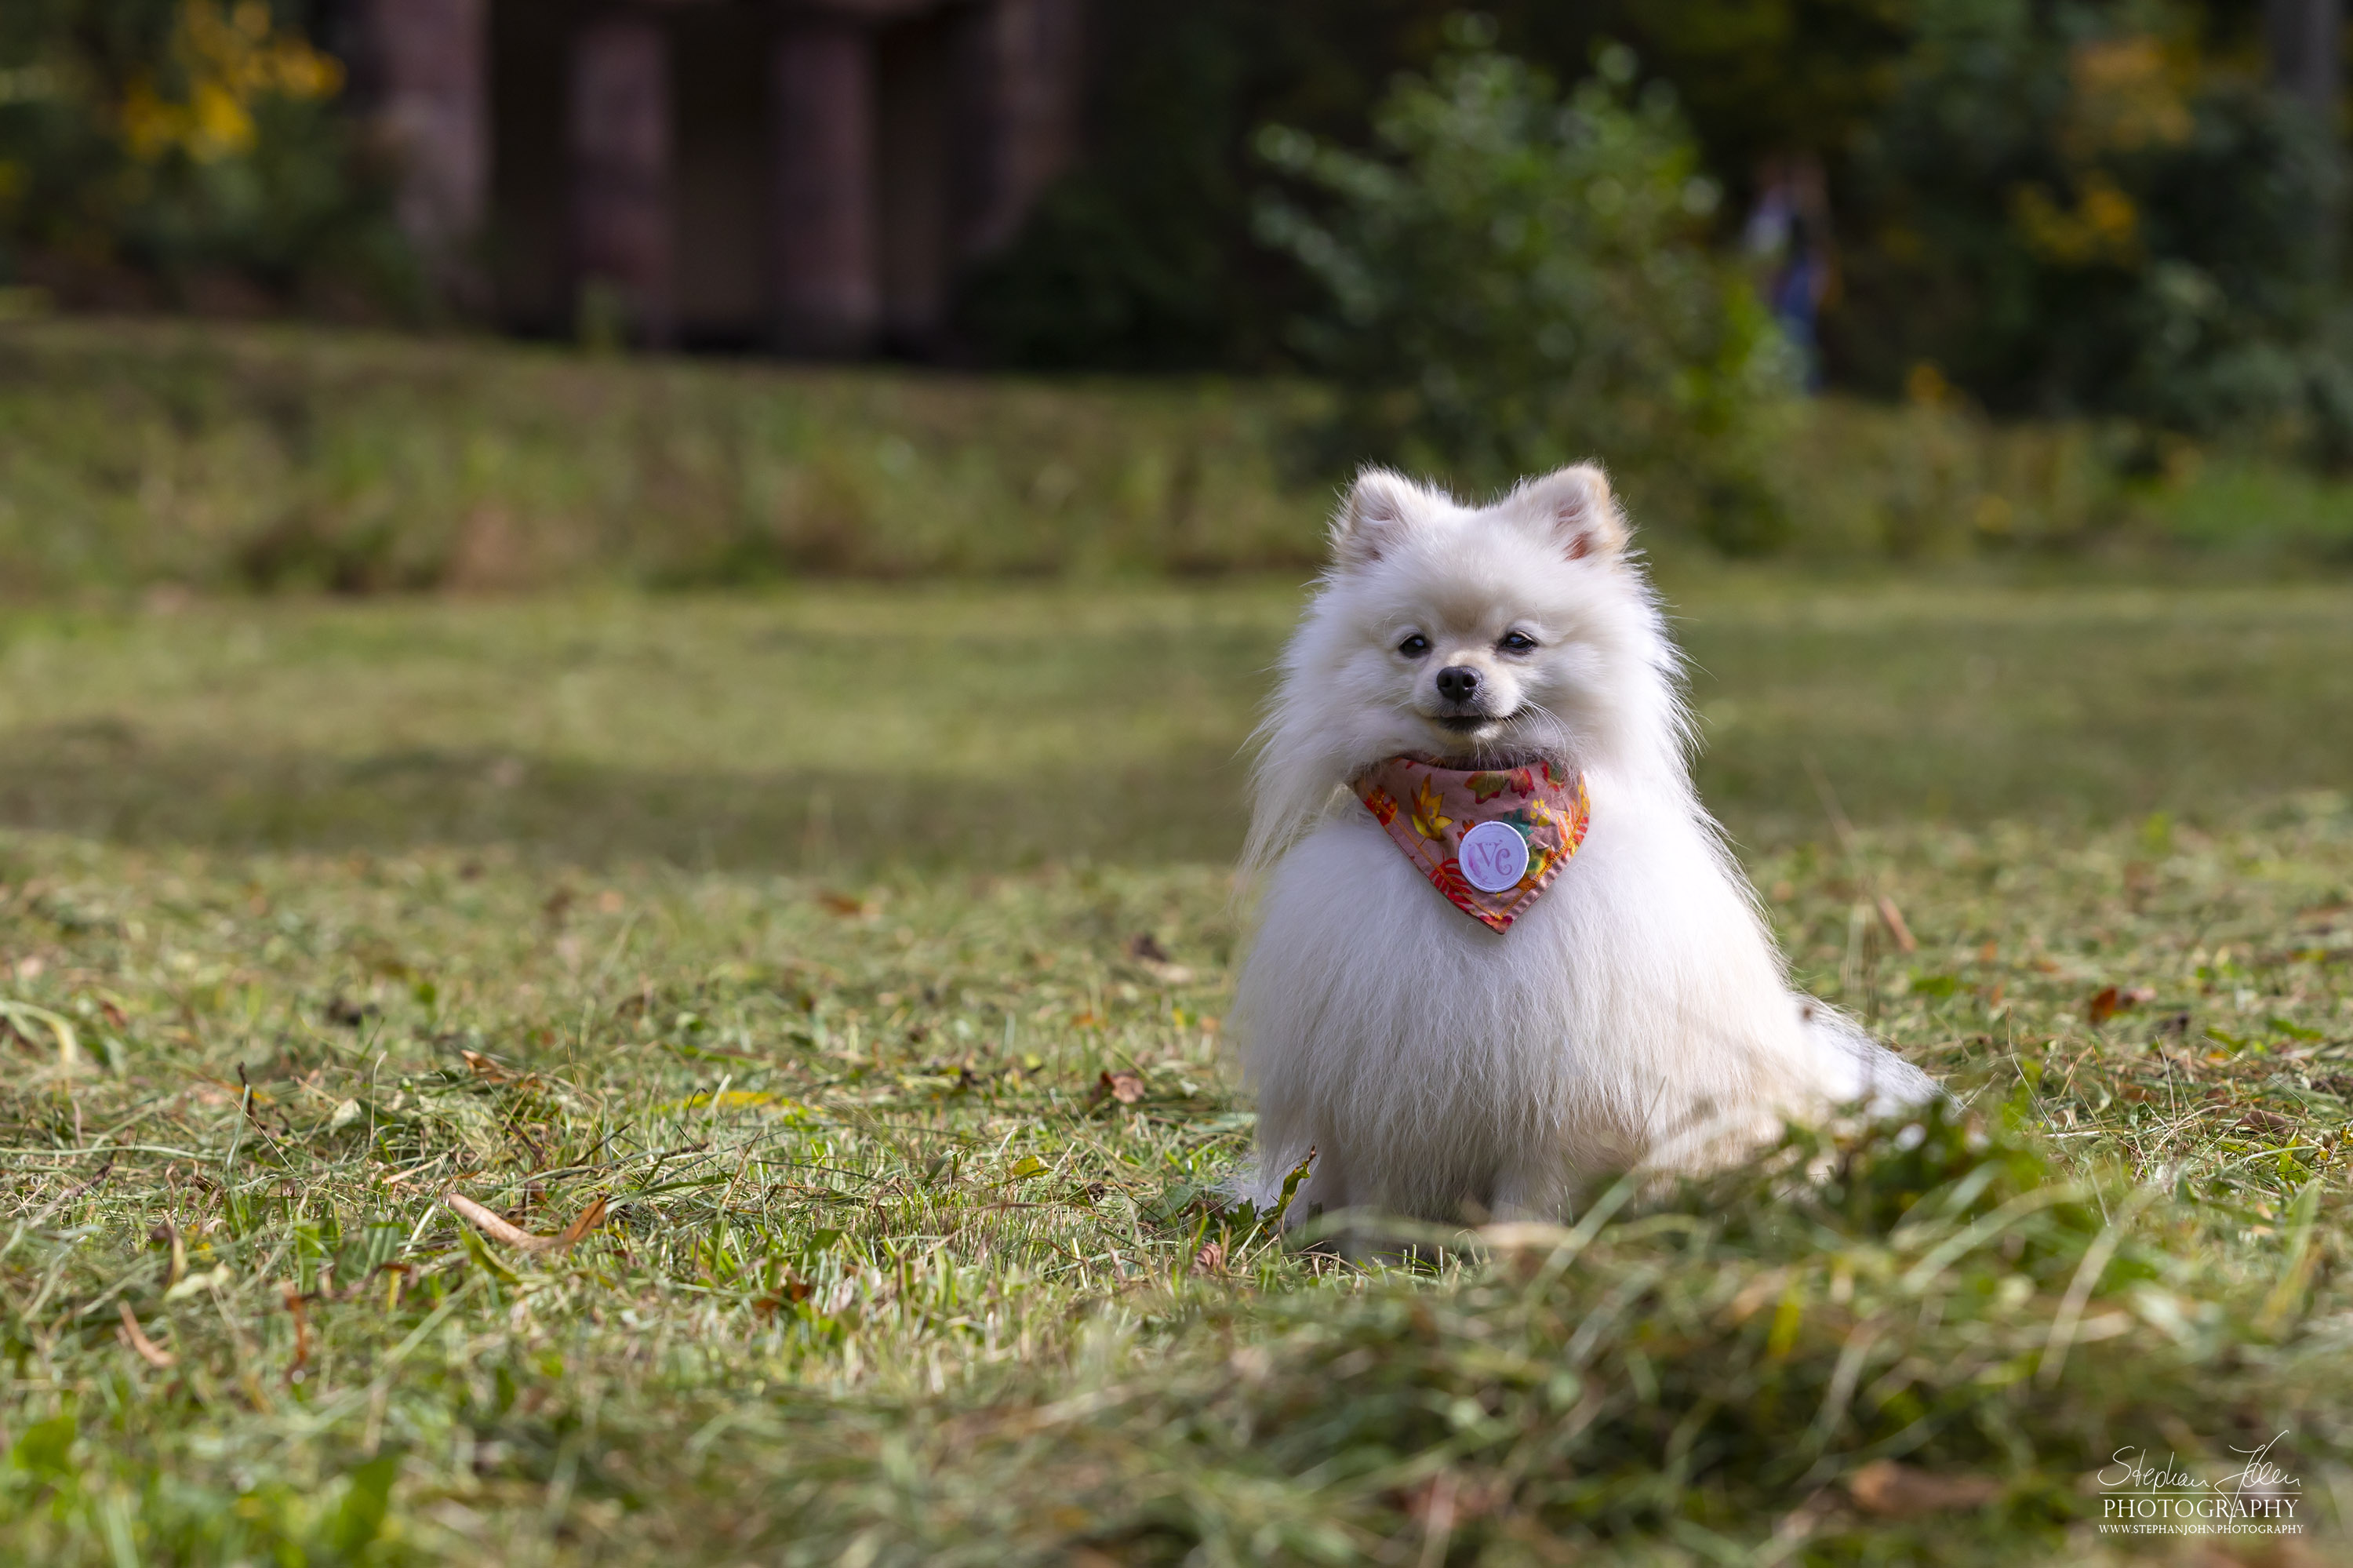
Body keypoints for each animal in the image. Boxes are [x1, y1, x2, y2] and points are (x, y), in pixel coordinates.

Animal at [1233, 464, 1929, 1224]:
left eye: (1518, 641)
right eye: (1414, 643)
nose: (1457, 677)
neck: (1474, 804)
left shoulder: (1566, 1086)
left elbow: (1536, 1182)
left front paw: (1513, 1240)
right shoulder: (1380, 1080)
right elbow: (1379, 1181)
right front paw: (1371, 1238)